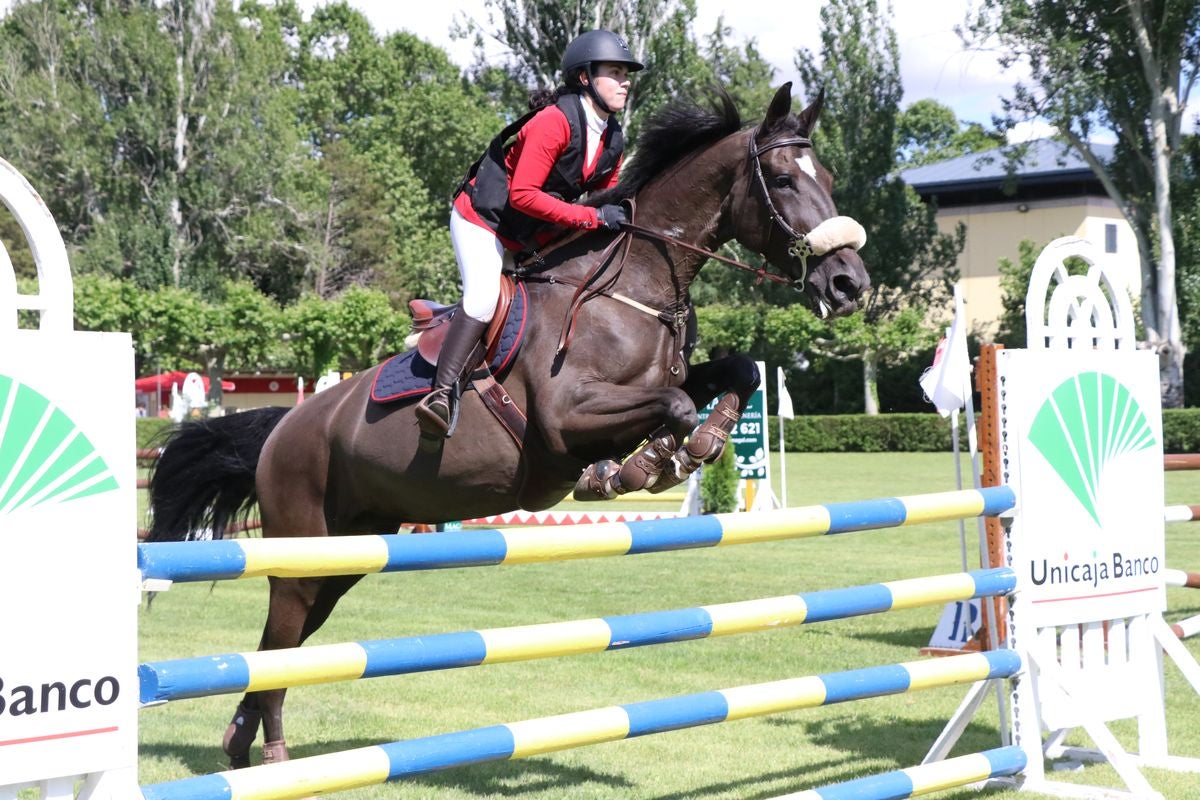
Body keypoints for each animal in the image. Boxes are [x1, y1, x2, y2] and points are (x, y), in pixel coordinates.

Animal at [150, 82, 873, 767]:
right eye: (782, 179)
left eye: (830, 177)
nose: (849, 284)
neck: (633, 288)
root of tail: (281, 431)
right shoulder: (566, 420)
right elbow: (669, 407)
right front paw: (643, 465)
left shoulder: (658, 382)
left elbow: (737, 373)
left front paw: (702, 441)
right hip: (304, 552)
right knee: (280, 644)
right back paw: (272, 755)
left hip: (349, 553)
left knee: (283, 647)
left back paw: (239, 742)